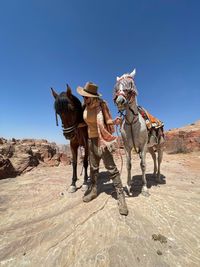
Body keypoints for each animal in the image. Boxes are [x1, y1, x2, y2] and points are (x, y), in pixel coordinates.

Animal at [113, 69, 165, 197]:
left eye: (130, 85)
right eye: (116, 88)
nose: (120, 101)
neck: (132, 122)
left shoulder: (142, 146)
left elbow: (143, 165)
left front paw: (144, 188)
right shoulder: (127, 147)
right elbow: (128, 165)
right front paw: (128, 186)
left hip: (159, 145)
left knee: (159, 159)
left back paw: (158, 177)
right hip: (150, 147)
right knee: (154, 158)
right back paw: (154, 174)